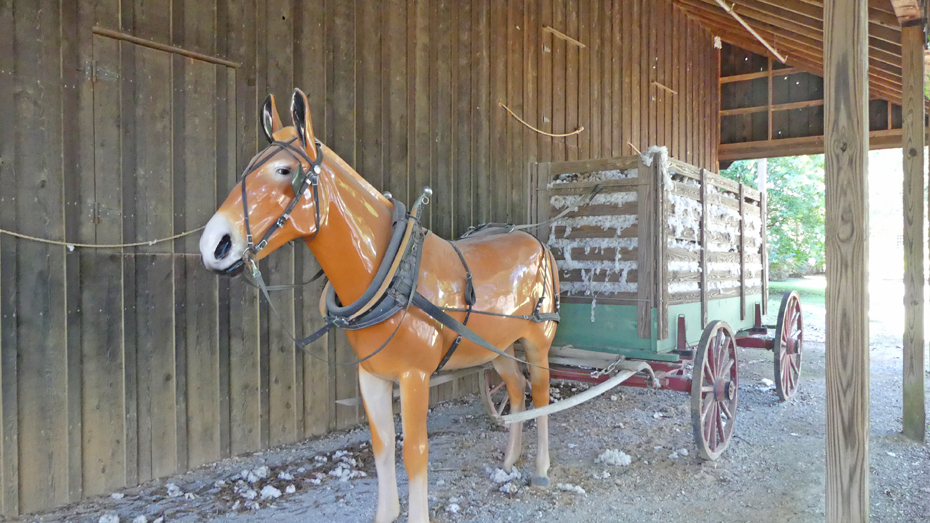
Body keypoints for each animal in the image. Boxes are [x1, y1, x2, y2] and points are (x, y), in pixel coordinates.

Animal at [199, 88, 558, 523]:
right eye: (248, 168)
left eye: (284, 171)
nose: (214, 244)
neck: (391, 274)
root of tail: (537, 243)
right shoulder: (371, 375)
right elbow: (382, 444)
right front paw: (387, 512)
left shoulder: (414, 376)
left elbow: (414, 451)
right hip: (496, 347)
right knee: (517, 391)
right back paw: (509, 461)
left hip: (537, 341)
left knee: (541, 395)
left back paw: (541, 469)